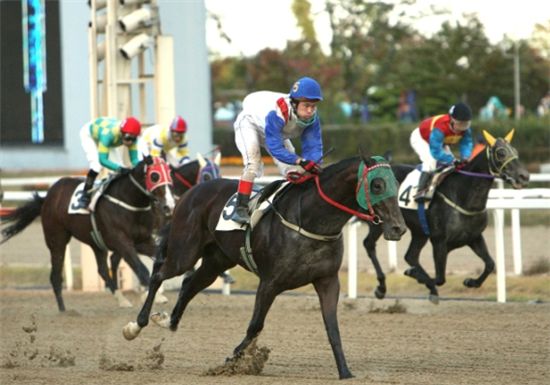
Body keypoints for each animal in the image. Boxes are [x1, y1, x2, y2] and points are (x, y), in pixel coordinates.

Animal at [0, 155, 176, 308]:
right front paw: (156, 297)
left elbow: (159, 259)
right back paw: (64, 310)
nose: (169, 206)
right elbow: (141, 268)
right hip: (57, 239)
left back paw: (122, 300)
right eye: (154, 176)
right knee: (55, 275)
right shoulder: (122, 242)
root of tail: (48, 196)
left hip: (96, 243)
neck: (129, 203)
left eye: (170, 174)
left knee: (102, 270)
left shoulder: (143, 241)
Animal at [123, 153, 408, 378]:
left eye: (396, 183)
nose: (398, 228)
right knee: (159, 274)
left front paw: (345, 372)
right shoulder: (269, 282)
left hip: (216, 260)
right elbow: (255, 325)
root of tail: (191, 192)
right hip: (185, 252)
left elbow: (332, 327)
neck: (311, 220)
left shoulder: (327, 280)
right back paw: (135, 325)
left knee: (189, 284)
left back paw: (169, 322)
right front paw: (232, 359)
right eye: (377, 184)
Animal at [366, 130, 532, 304]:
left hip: (419, 231)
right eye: (501, 153)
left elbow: (490, 264)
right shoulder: (439, 240)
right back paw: (381, 288)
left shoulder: (474, 237)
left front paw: (471, 281)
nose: (524, 176)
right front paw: (416, 276)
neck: (463, 196)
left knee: (410, 255)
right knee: (369, 245)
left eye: (516, 152)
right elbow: (440, 278)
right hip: (381, 223)